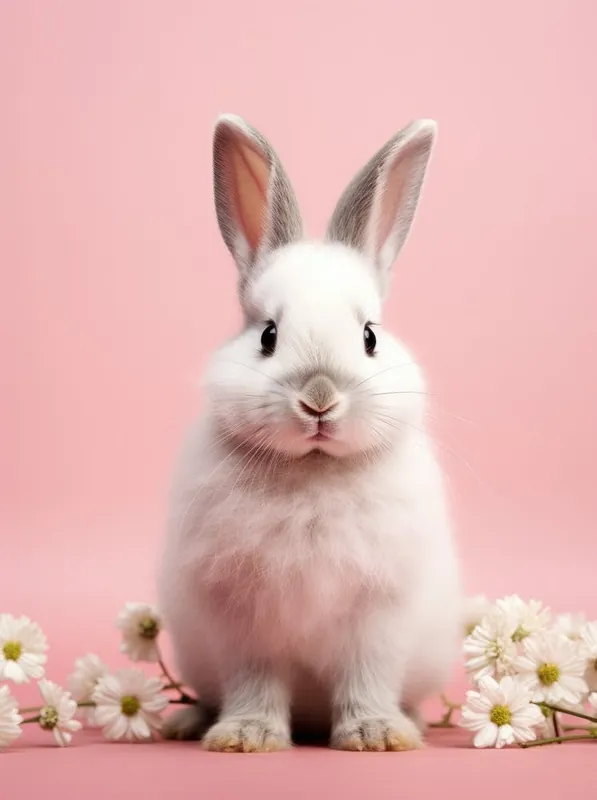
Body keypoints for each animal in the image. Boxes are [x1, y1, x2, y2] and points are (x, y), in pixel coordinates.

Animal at [158, 114, 462, 753]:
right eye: (268, 335)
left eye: (370, 336)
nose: (319, 399)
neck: (315, 470)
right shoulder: (242, 618)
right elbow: (254, 681)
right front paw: (245, 737)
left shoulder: (378, 614)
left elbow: (367, 676)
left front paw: (376, 736)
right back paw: (186, 722)